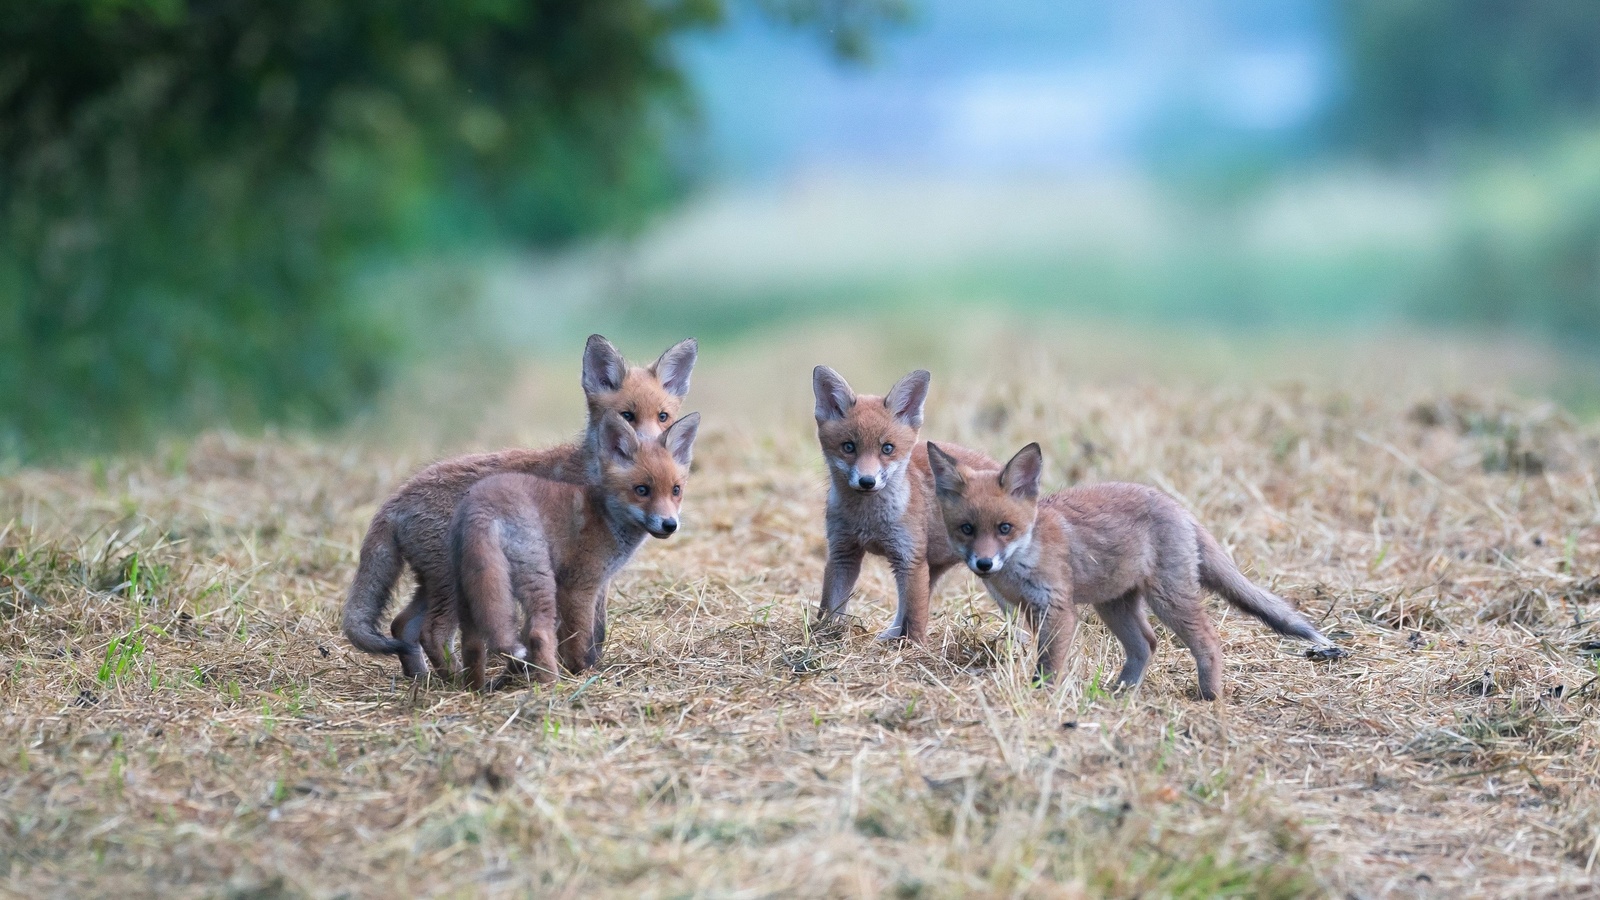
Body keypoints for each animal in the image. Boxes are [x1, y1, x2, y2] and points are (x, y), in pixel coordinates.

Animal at [451, 406, 700, 685]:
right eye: (642, 490)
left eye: (676, 490)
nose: (669, 524)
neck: (604, 515)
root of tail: (482, 507)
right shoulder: (578, 586)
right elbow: (581, 640)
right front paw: (584, 673)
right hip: (538, 579)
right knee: (538, 634)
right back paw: (551, 683)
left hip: (471, 586)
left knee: (472, 642)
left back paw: (477, 687)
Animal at [819, 368, 992, 640]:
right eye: (848, 447)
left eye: (887, 448)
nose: (867, 481)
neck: (868, 522)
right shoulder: (842, 552)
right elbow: (829, 607)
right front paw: (823, 637)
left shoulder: (909, 558)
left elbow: (917, 622)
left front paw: (916, 647)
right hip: (930, 568)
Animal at [921, 438, 1344, 698]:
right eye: (967, 529)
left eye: (1004, 528)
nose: (984, 563)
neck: (1027, 552)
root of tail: (1180, 508)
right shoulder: (1029, 610)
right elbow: (1038, 656)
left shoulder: (1059, 610)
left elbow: (1049, 665)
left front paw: (1041, 697)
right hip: (1115, 604)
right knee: (1147, 644)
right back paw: (1121, 693)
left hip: (1168, 600)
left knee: (1208, 641)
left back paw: (1209, 696)